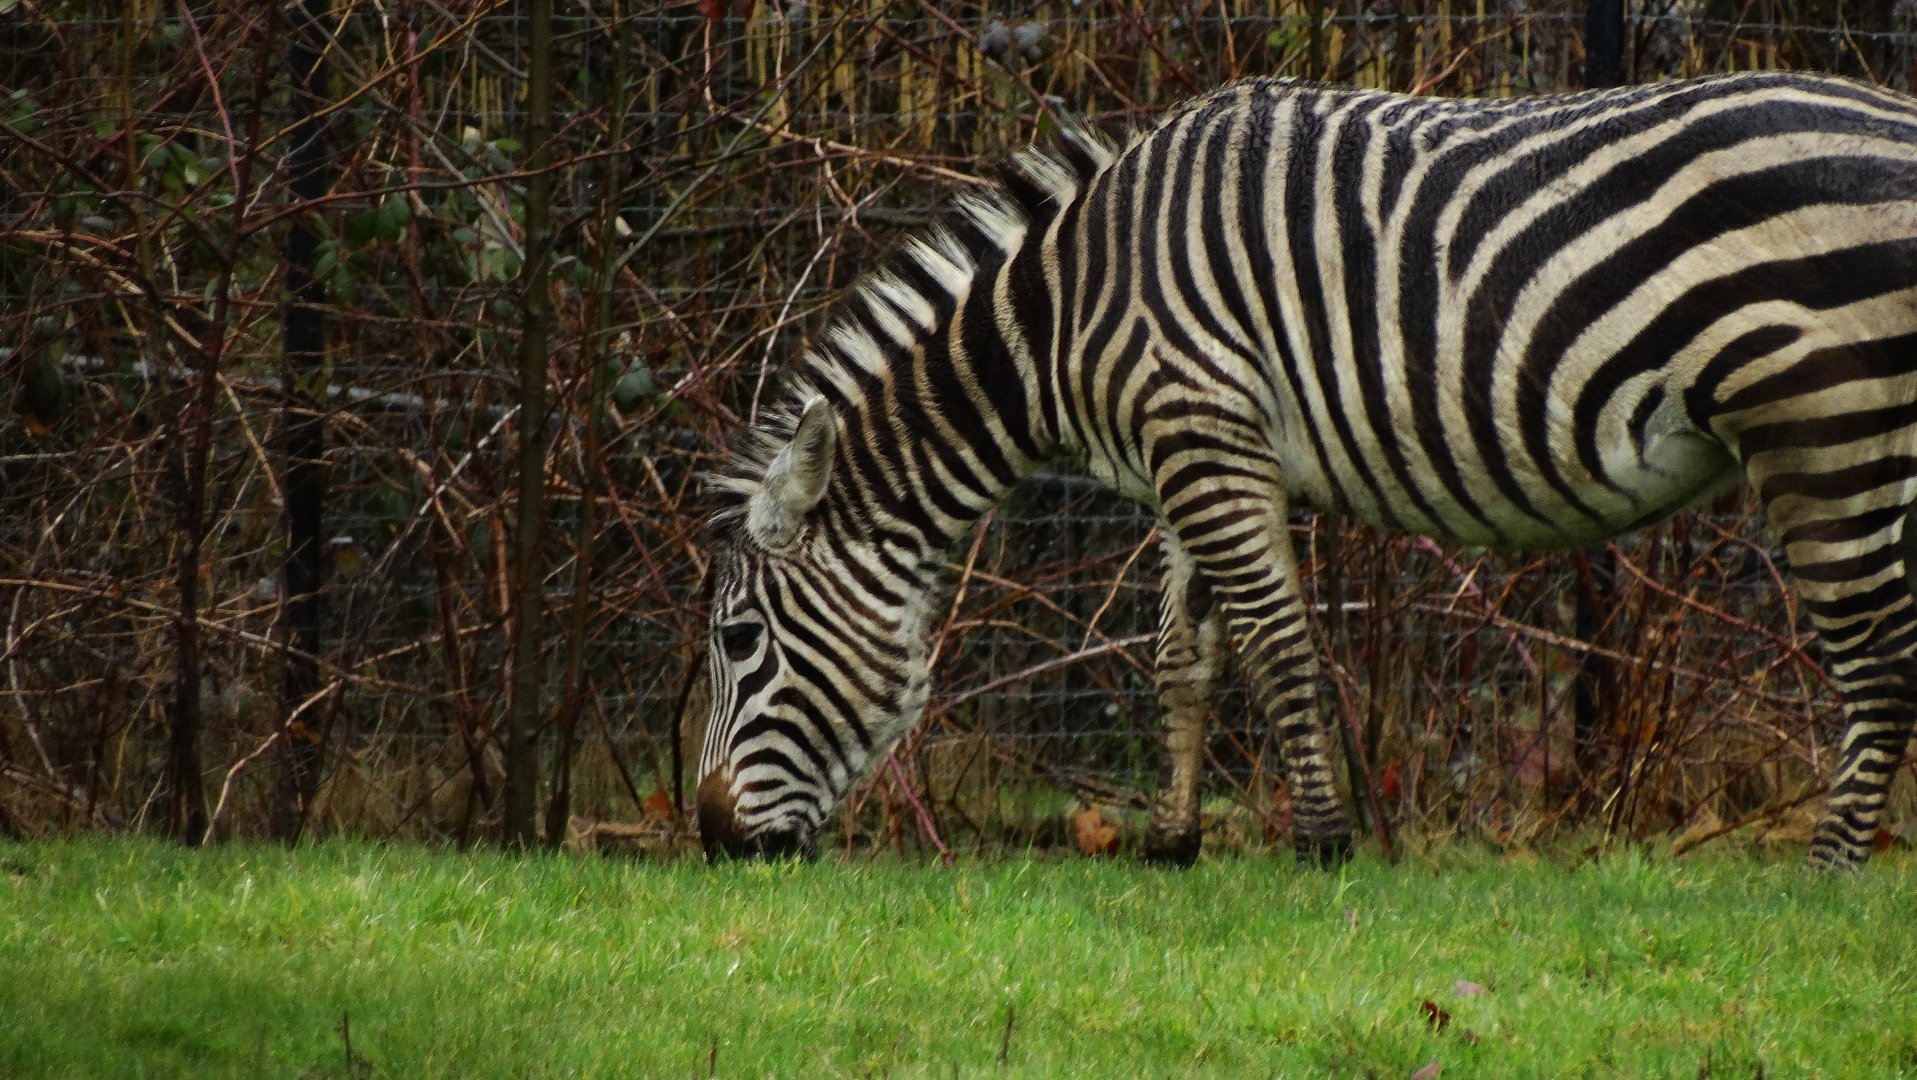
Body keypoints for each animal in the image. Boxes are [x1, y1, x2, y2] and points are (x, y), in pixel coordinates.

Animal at [699, 71, 1917, 869]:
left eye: (737, 639)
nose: (711, 840)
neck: (1062, 316)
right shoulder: (1186, 454)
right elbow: (1181, 658)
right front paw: (1173, 845)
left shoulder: (1205, 436)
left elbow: (1277, 646)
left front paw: (1324, 848)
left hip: (1828, 431)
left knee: (1877, 664)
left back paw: (1826, 875)